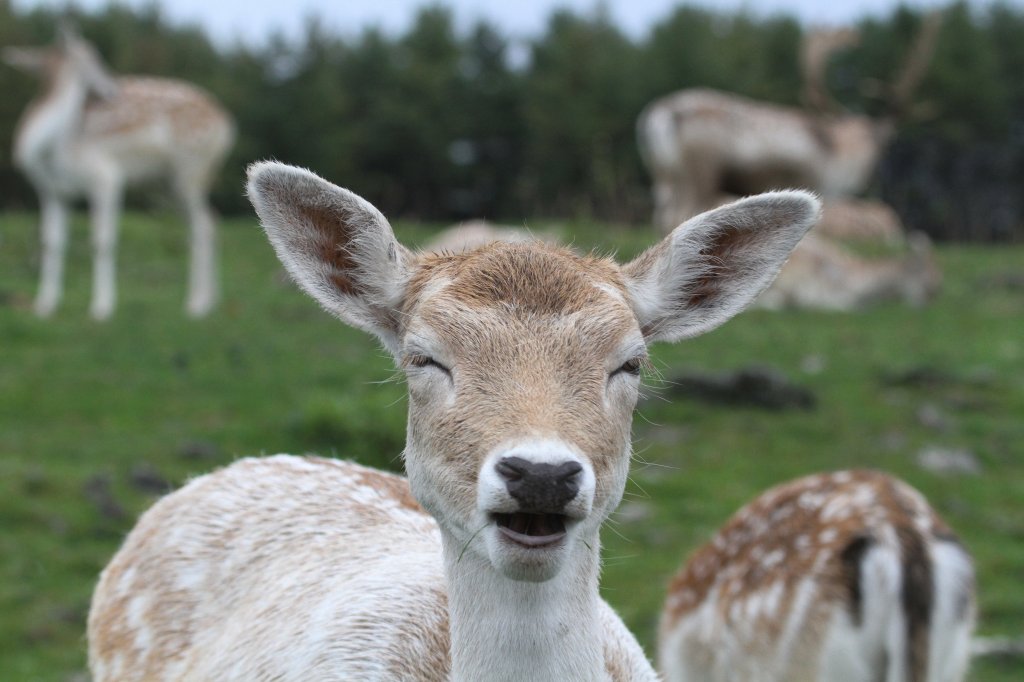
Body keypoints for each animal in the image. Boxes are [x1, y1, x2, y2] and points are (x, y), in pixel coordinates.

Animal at [2, 23, 234, 315]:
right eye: (95, 57)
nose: (111, 87)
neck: (51, 149)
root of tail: (227, 123)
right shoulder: (50, 190)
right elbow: (51, 243)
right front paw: (45, 305)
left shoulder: (105, 176)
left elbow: (102, 240)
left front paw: (102, 307)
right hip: (167, 184)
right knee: (209, 219)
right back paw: (212, 300)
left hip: (192, 170)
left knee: (202, 224)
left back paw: (196, 305)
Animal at [638, 11, 942, 231]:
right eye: (887, 141)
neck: (841, 155)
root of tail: (660, 115)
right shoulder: (817, 184)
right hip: (700, 173)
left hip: (664, 176)